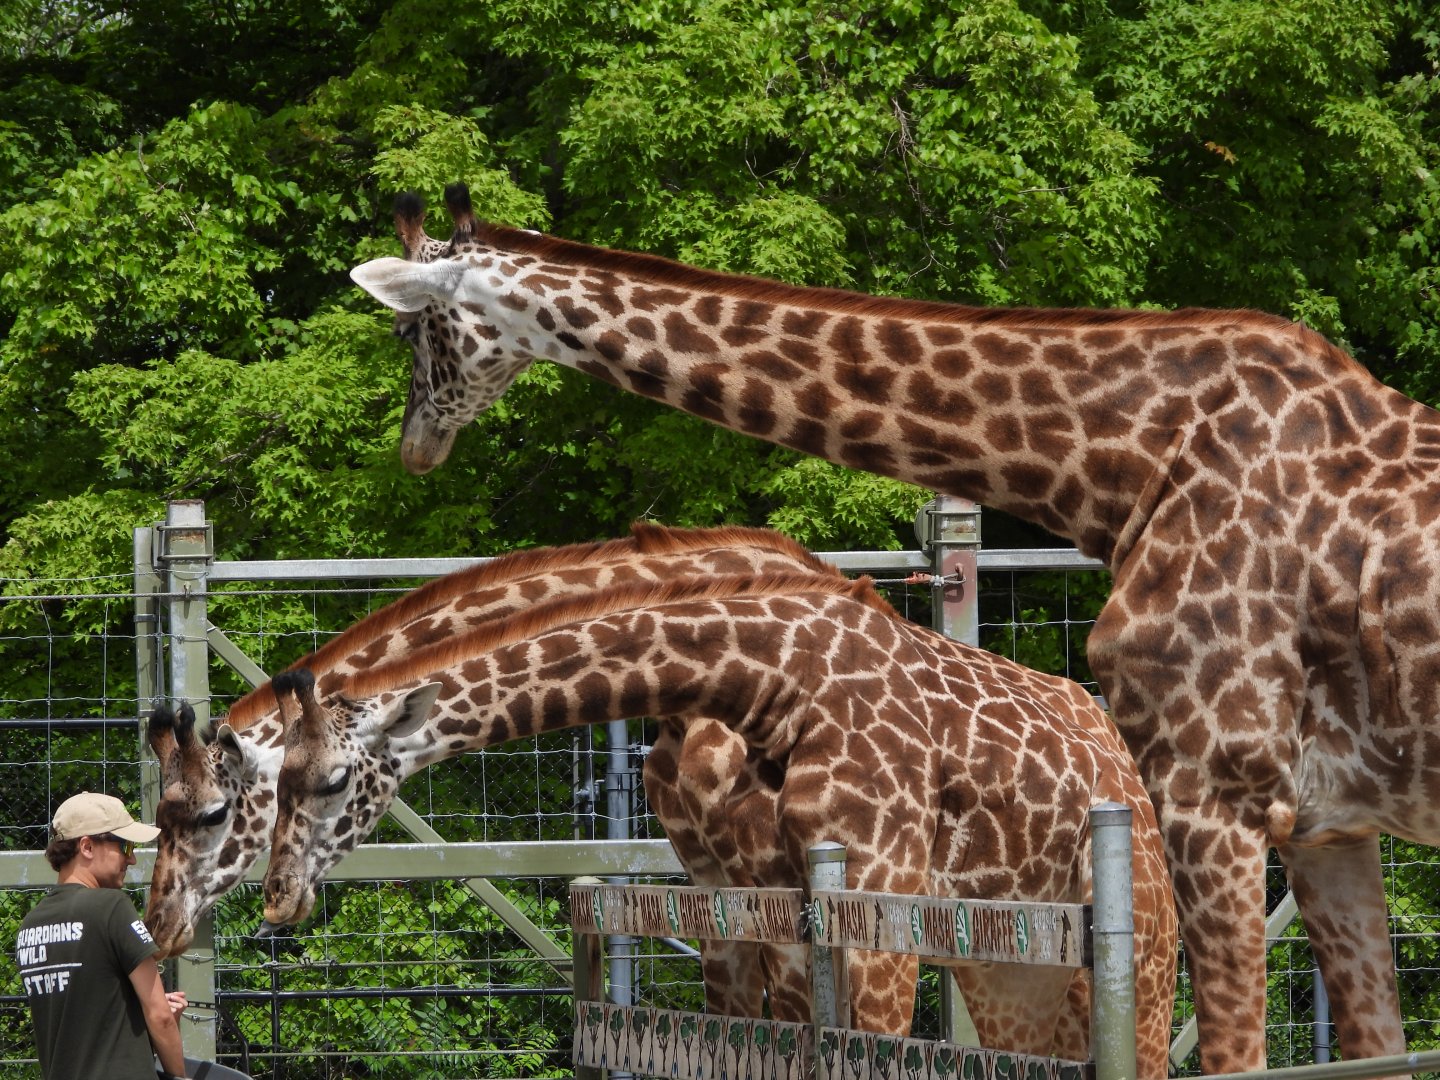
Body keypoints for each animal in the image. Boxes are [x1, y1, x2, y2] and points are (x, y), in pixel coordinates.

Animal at [257, 571, 1178, 1075]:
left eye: (332, 780)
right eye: (276, 781)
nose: (276, 899)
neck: (779, 678)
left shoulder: (880, 894)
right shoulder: (772, 907)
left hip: (1141, 952)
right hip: (1014, 972)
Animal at [347, 181, 1440, 1071]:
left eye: (411, 333)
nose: (413, 446)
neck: (1123, 462)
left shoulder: (1217, 798)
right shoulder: (1325, 821)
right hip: (1016, 961)